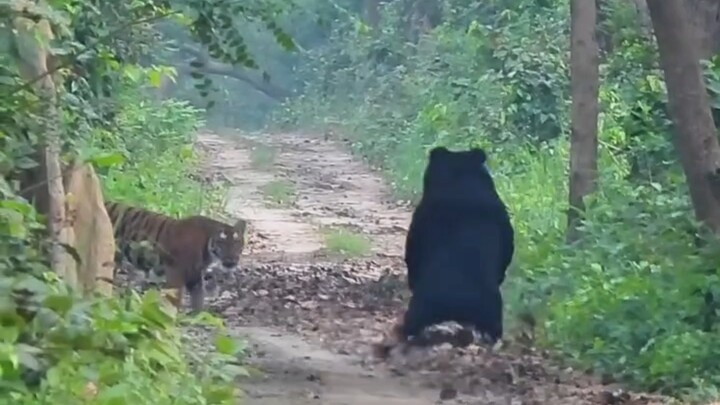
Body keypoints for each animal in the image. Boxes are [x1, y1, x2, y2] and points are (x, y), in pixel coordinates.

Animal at [104, 201, 247, 312]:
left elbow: (198, 297)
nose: (231, 260)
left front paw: (198, 316)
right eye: (222, 243)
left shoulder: (195, 275)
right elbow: (174, 297)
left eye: (237, 243)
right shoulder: (176, 271)